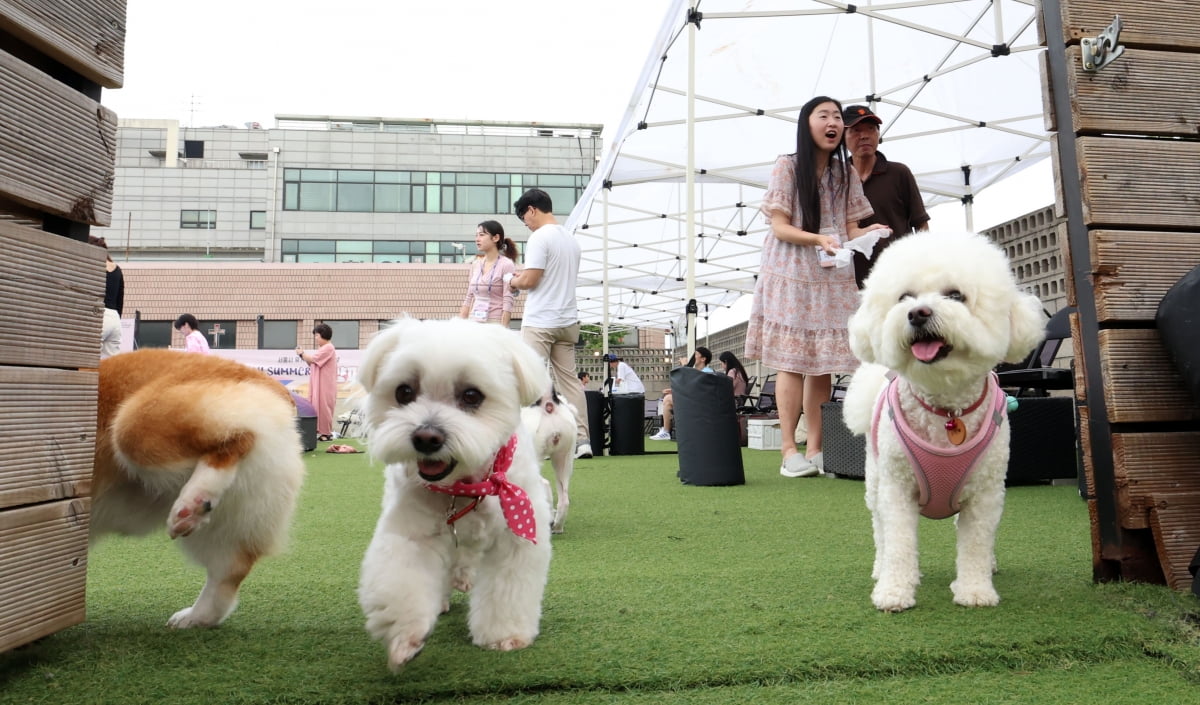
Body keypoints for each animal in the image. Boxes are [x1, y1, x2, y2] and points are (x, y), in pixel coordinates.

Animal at [94, 352, 309, 628]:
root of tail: (272, 385)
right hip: (233, 516)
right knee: (226, 574)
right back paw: (194, 617)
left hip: (137, 420)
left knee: (240, 435)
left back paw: (195, 500)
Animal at [352, 316, 554, 671]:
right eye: (404, 392)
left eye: (472, 395)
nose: (426, 437)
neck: (466, 486)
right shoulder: (413, 534)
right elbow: (403, 581)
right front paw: (406, 637)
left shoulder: (516, 538)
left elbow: (507, 590)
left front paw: (504, 636)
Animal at [840, 231, 1046, 611]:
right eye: (904, 297)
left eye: (955, 295)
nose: (917, 313)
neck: (947, 410)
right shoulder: (897, 489)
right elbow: (899, 544)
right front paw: (894, 591)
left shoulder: (985, 493)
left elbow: (976, 542)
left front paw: (975, 590)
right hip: (875, 482)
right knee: (881, 531)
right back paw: (880, 568)